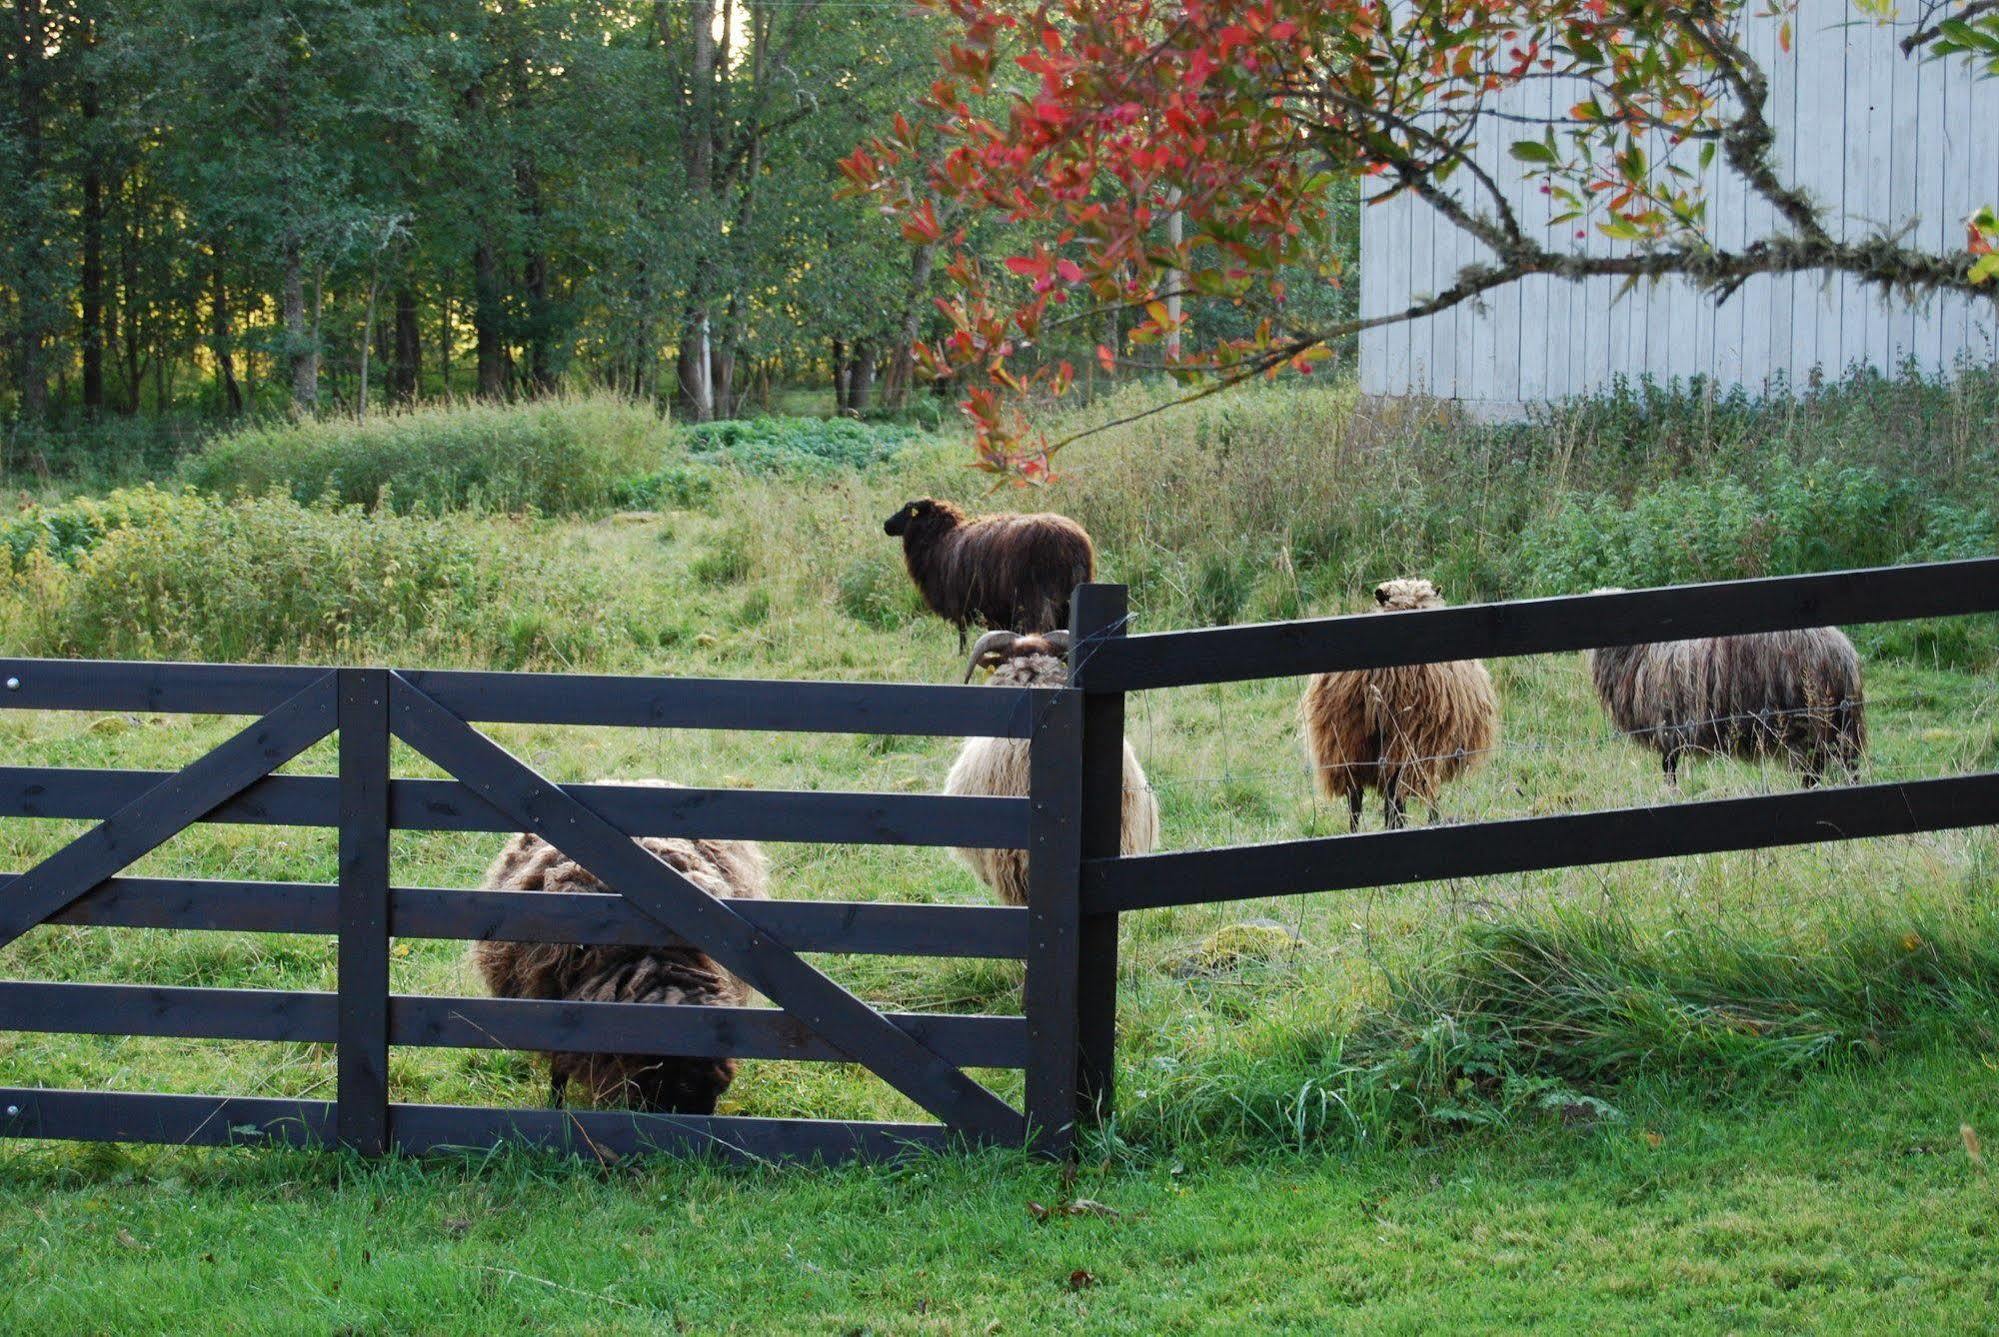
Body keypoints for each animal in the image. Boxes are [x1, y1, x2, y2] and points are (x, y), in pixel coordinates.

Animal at [883, 495, 1095, 651]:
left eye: (907, 510)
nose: (886, 525)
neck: (940, 538)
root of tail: (1072, 544)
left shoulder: (959, 602)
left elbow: (962, 634)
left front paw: (962, 655)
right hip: (1067, 598)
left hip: (1036, 599)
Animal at [1583, 611, 1863, 787]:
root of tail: (1844, 653)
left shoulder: (1669, 729)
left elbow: (1669, 770)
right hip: (1839, 726)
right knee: (1847, 768)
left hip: (1806, 725)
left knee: (1814, 771)